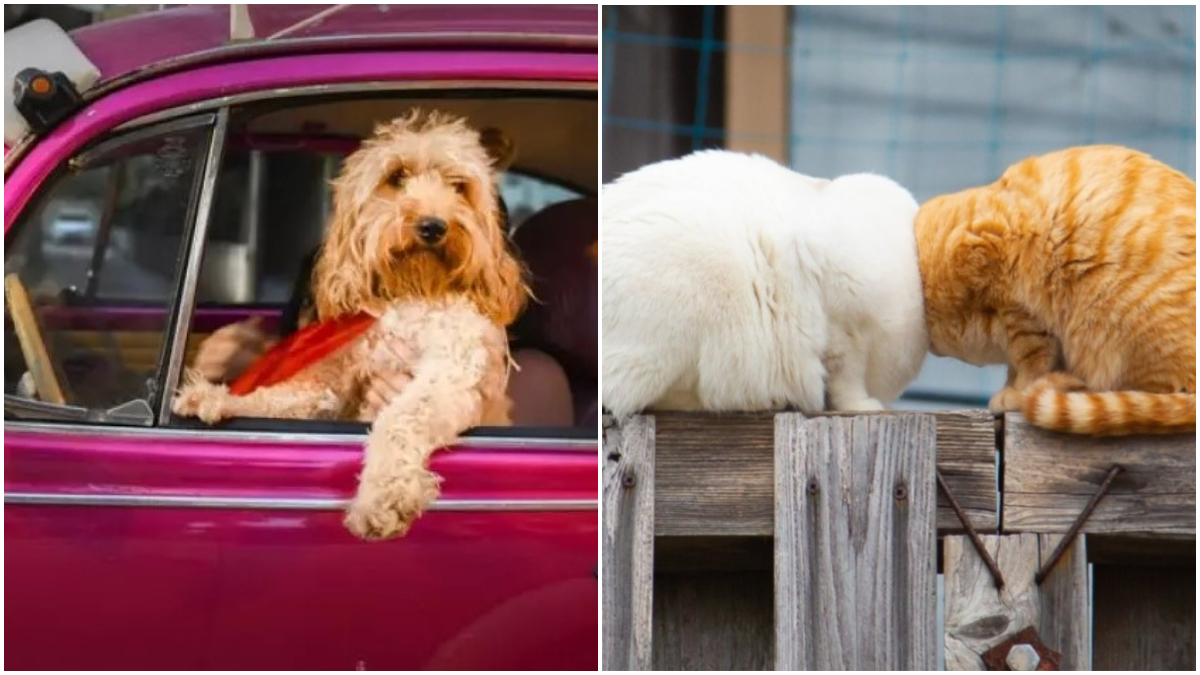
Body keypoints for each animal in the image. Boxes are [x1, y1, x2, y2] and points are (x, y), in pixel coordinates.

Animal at [171, 111, 528, 540]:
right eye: (396, 176)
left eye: (459, 186)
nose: (433, 226)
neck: (412, 291)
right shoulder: (335, 377)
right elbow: (284, 395)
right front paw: (216, 397)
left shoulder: (450, 375)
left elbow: (400, 420)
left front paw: (382, 499)